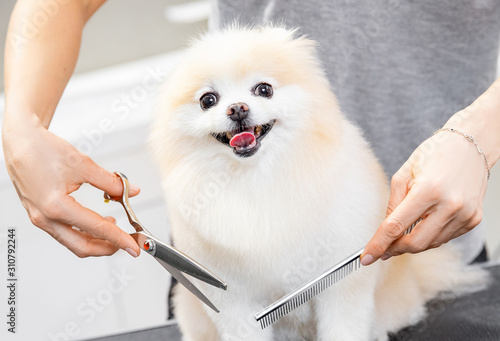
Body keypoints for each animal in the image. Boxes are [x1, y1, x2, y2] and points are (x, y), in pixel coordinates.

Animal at [149, 25, 488, 338]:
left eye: (264, 89)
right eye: (208, 100)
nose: (237, 108)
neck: (258, 176)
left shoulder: (341, 282)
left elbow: (344, 327)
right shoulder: (233, 302)